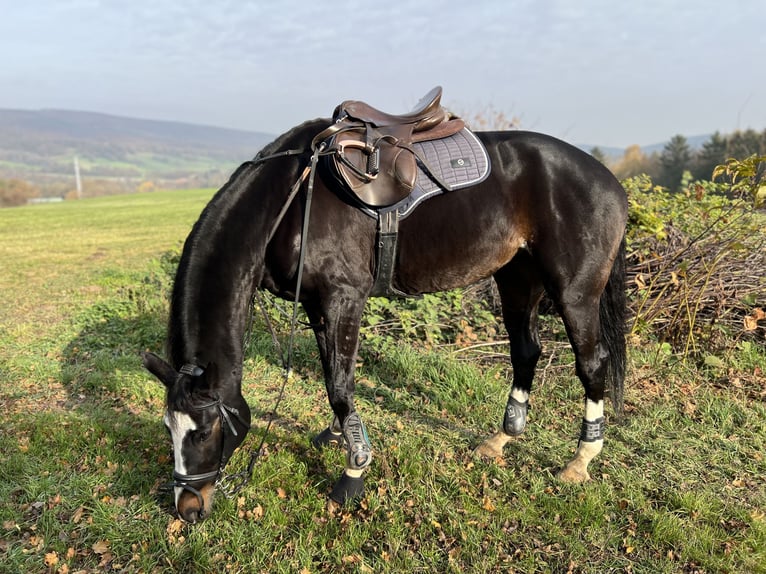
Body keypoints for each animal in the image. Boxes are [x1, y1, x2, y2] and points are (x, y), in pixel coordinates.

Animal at [141, 116, 628, 520]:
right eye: (168, 428)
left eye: (203, 432)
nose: (188, 508)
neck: (290, 200)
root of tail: (609, 180)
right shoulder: (318, 305)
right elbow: (333, 375)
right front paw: (339, 435)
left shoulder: (344, 298)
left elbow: (340, 385)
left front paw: (353, 471)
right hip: (517, 279)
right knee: (526, 351)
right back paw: (502, 438)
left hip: (574, 292)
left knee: (591, 363)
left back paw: (581, 459)